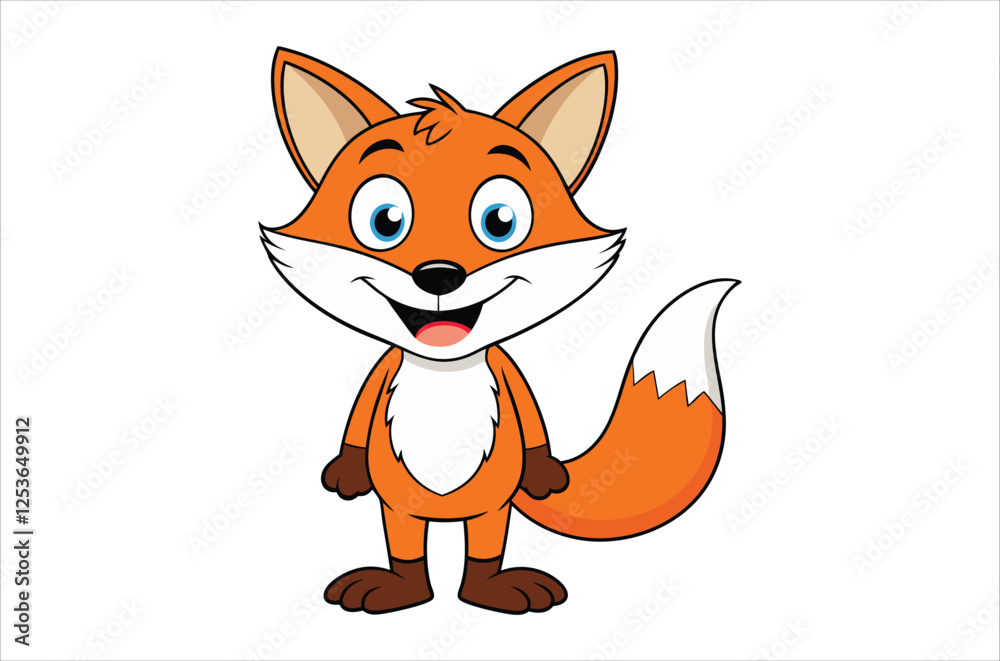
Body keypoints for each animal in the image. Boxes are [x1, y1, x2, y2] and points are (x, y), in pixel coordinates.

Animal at [261, 47, 738, 614]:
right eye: (385, 220)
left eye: (500, 221)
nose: (439, 275)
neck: (444, 370)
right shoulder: (384, 380)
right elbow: (362, 413)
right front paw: (347, 471)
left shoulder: (505, 374)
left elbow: (530, 419)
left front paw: (545, 472)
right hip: (402, 507)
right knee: (408, 543)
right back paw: (402, 588)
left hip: (492, 506)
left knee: (484, 543)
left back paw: (490, 589)